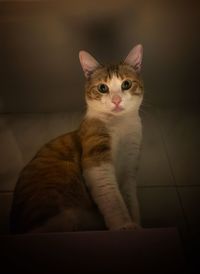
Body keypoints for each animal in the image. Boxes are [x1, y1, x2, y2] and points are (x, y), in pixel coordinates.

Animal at [9, 44, 144, 233]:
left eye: (126, 84)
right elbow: (111, 196)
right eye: (103, 88)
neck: (120, 125)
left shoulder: (130, 164)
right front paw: (124, 225)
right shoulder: (95, 159)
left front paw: (137, 225)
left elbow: (131, 200)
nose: (116, 100)